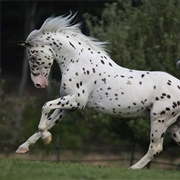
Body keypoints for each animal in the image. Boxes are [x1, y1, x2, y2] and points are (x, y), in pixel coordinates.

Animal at [16, 13, 179, 169]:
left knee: (155, 148)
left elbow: (45, 107)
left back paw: (133, 168)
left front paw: (46, 138)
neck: (78, 61)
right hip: (173, 125)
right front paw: (23, 148)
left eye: (32, 56)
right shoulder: (69, 106)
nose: (39, 84)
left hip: (159, 119)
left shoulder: (76, 101)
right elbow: (49, 122)